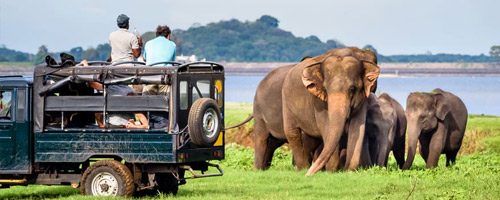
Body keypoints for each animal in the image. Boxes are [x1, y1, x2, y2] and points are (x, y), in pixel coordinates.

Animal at [282, 47, 378, 175]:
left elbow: (357, 128)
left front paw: (348, 171)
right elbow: (326, 127)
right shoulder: (318, 101)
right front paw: (331, 172)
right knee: (292, 132)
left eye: (352, 89)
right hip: (286, 102)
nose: (308, 175)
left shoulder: (363, 99)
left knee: (309, 139)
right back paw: (303, 169)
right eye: (325, 89)